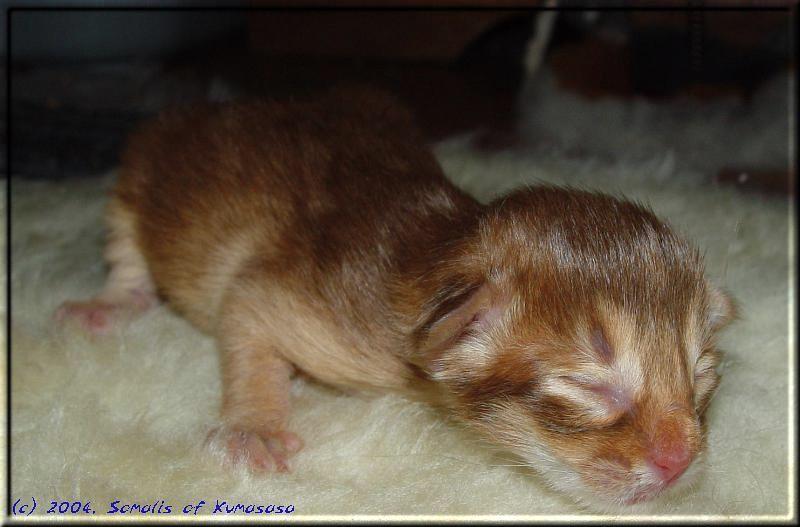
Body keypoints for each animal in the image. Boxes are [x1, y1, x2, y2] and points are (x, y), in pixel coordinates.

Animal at [53, 85, 736, 508]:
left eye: (700, 376)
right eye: (589, 387)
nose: (681, 461)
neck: (433, 252)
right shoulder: (296, 294)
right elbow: (243, 318)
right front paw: (252, 426)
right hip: (139, 174)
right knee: (128, 252)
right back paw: (110, 302)